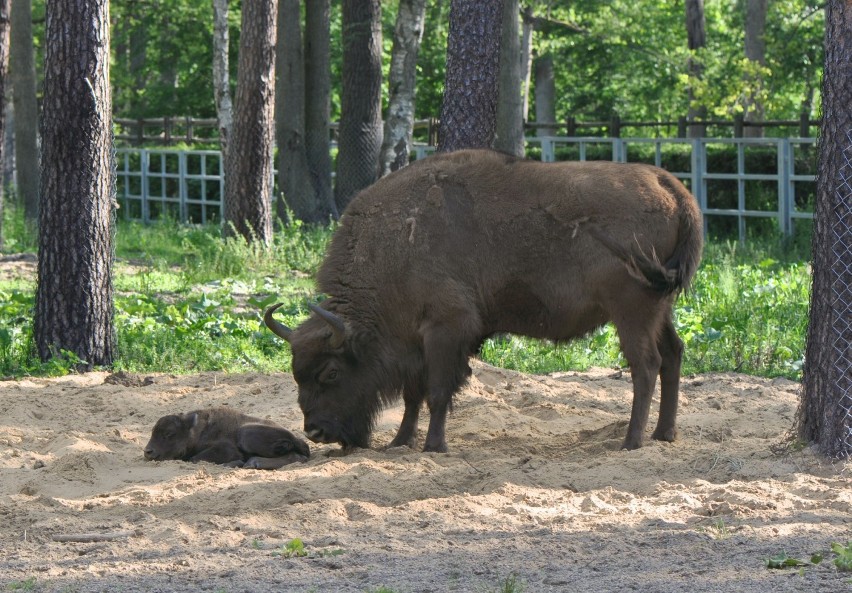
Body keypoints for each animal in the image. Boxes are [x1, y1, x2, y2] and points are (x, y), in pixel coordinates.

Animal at [145, 404, 312, 470]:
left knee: (296, 456)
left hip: (246, 434)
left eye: (169, 434)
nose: (148, 451)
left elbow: (195, 459)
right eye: (152, 431)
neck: (196, 429)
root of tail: (299, 440)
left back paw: (252, 463)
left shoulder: (225, 449)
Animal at [262, 150, 704, 450]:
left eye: (331, 372)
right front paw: (400, 442)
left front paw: (433, 446)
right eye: (296, 373)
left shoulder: (446, 329)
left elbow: (438, 391)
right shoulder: (416, 342)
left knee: (646, 366)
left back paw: (631, 441)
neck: (395, 245)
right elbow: (413, 394)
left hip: (631, 310)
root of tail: (670, 186)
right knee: (673, 354)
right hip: (660, 308)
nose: (315, 431)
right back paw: (664, 434)